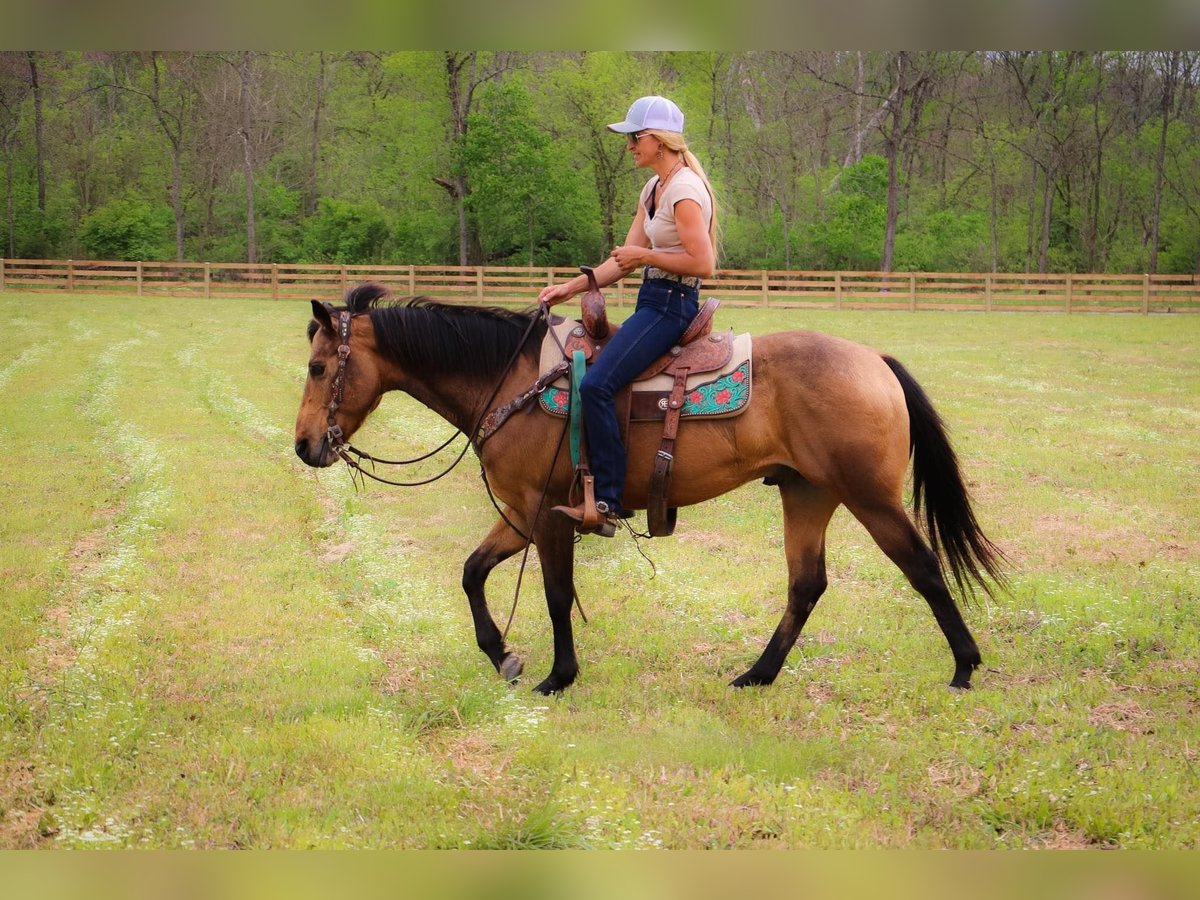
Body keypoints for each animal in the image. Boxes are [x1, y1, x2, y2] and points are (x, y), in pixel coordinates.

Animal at [290, 282, 1003, 696]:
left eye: (319, 367)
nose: (303, 445)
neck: (510, 379)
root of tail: (873, 358)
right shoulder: (519, 511)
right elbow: (471, 572)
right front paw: (502, 657)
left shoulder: (551, 516)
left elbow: (556, 596)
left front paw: (557, 676)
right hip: (806, 493)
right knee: (807, 586)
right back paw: (757, 674)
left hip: (870, 497)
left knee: (922, 567)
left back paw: (964, 666)